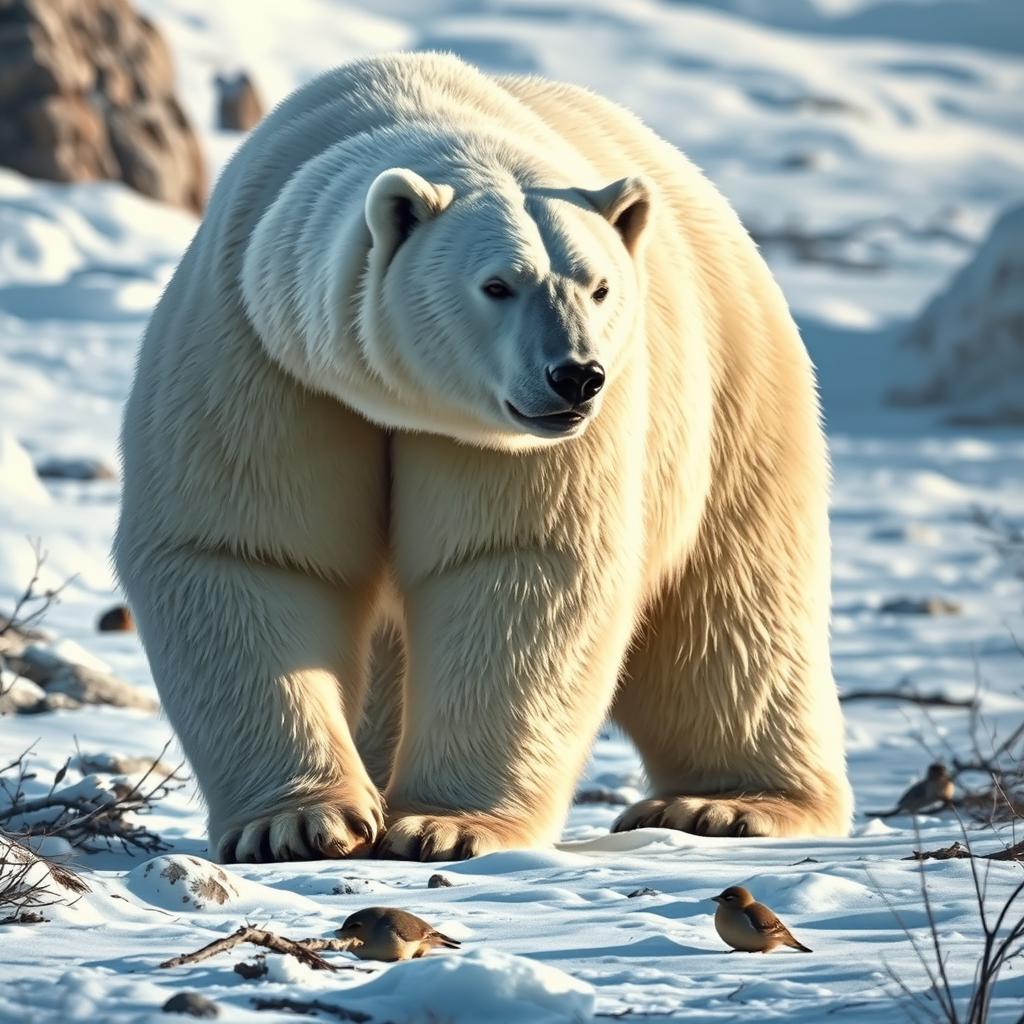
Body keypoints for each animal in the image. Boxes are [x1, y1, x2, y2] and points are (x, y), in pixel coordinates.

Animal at [116, 51, 851, 860]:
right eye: (497, 284)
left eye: (598, 286)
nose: (577, 376)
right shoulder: (261, 351)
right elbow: (250, 549)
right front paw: (298, 823)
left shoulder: (507, 437)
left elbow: (518, 559)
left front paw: (444, 826)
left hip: (734, 391)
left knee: (730, 607)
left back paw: (725, 804)